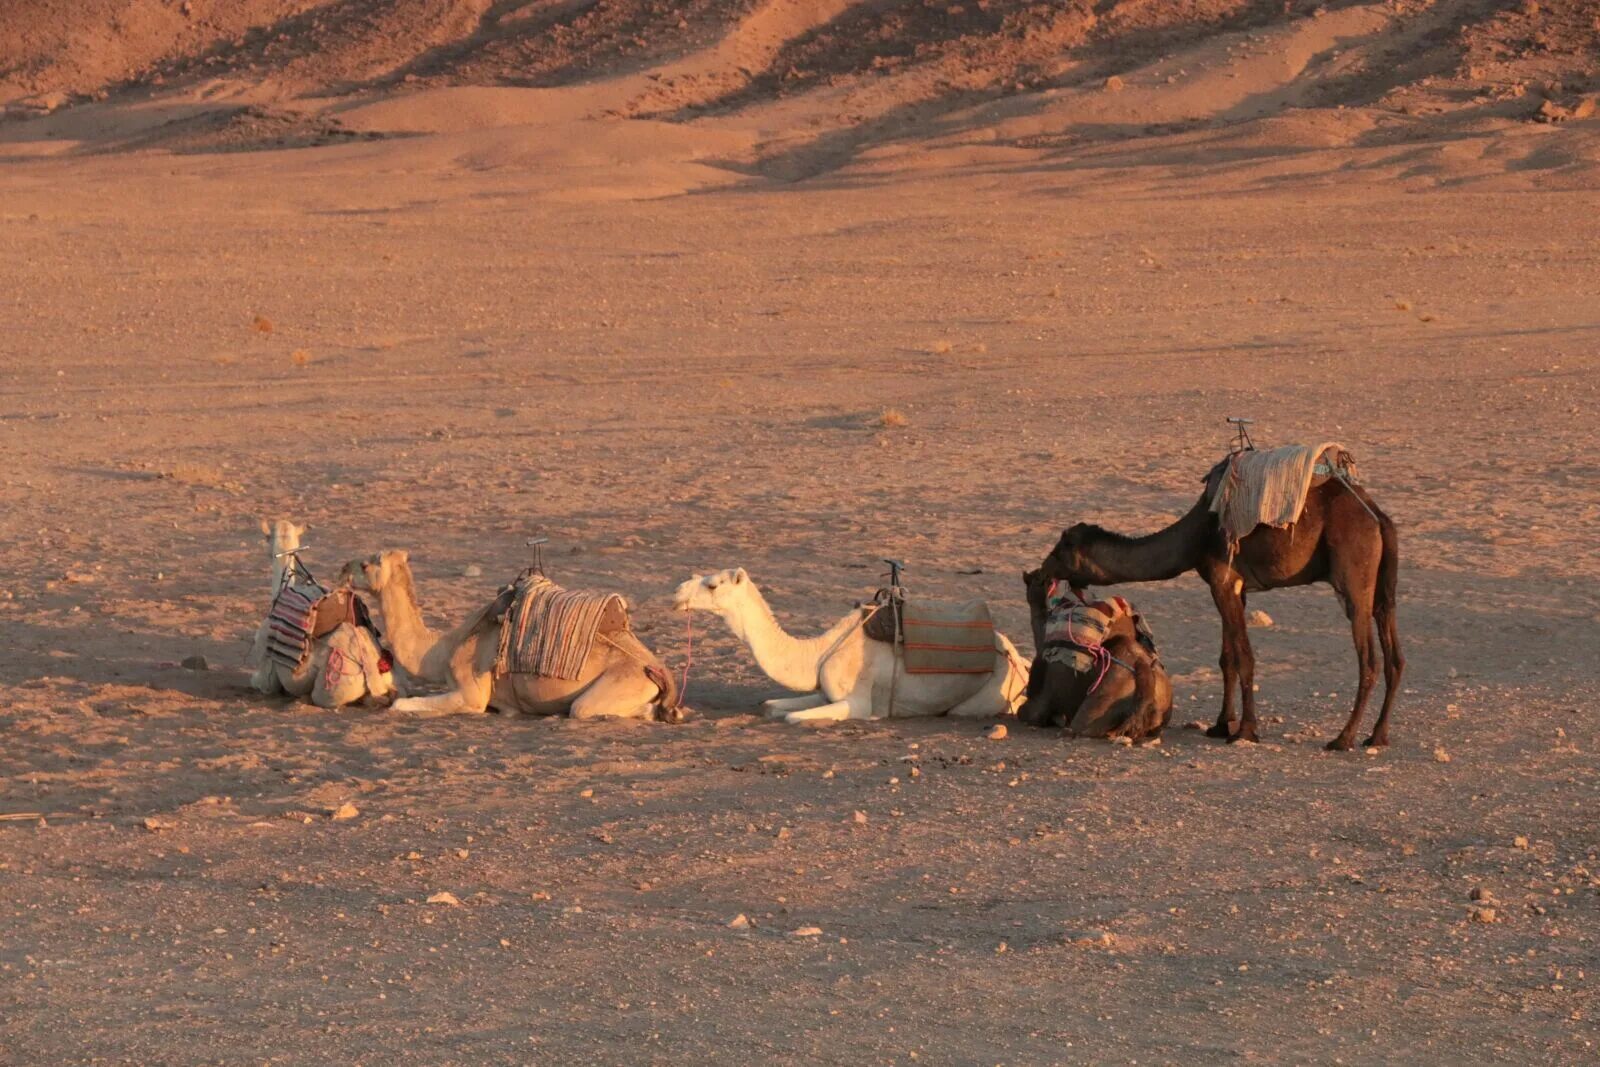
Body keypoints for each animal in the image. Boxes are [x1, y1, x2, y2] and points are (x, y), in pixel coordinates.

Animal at [344, 550, 681, 726]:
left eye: (365, 564)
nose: (342, 568)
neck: (442, 649)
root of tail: (659, 670)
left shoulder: (470, 693)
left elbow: (401, 704)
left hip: (615, 687)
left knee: (588, 708)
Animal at [672, 566, 1024, 726]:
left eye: (712, 585)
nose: (677, 592)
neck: (817, 652)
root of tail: (1016, 656)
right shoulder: (825, 691)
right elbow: (771, 706)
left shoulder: (856, 700)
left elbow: (793, 718)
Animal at [1017, 572, 1171, 739]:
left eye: (1037, 578)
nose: (1048, 579)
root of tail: (1142, 665)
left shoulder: (1040, 700)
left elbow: (1025, 712)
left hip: (1099, 702)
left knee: (1080, 726)